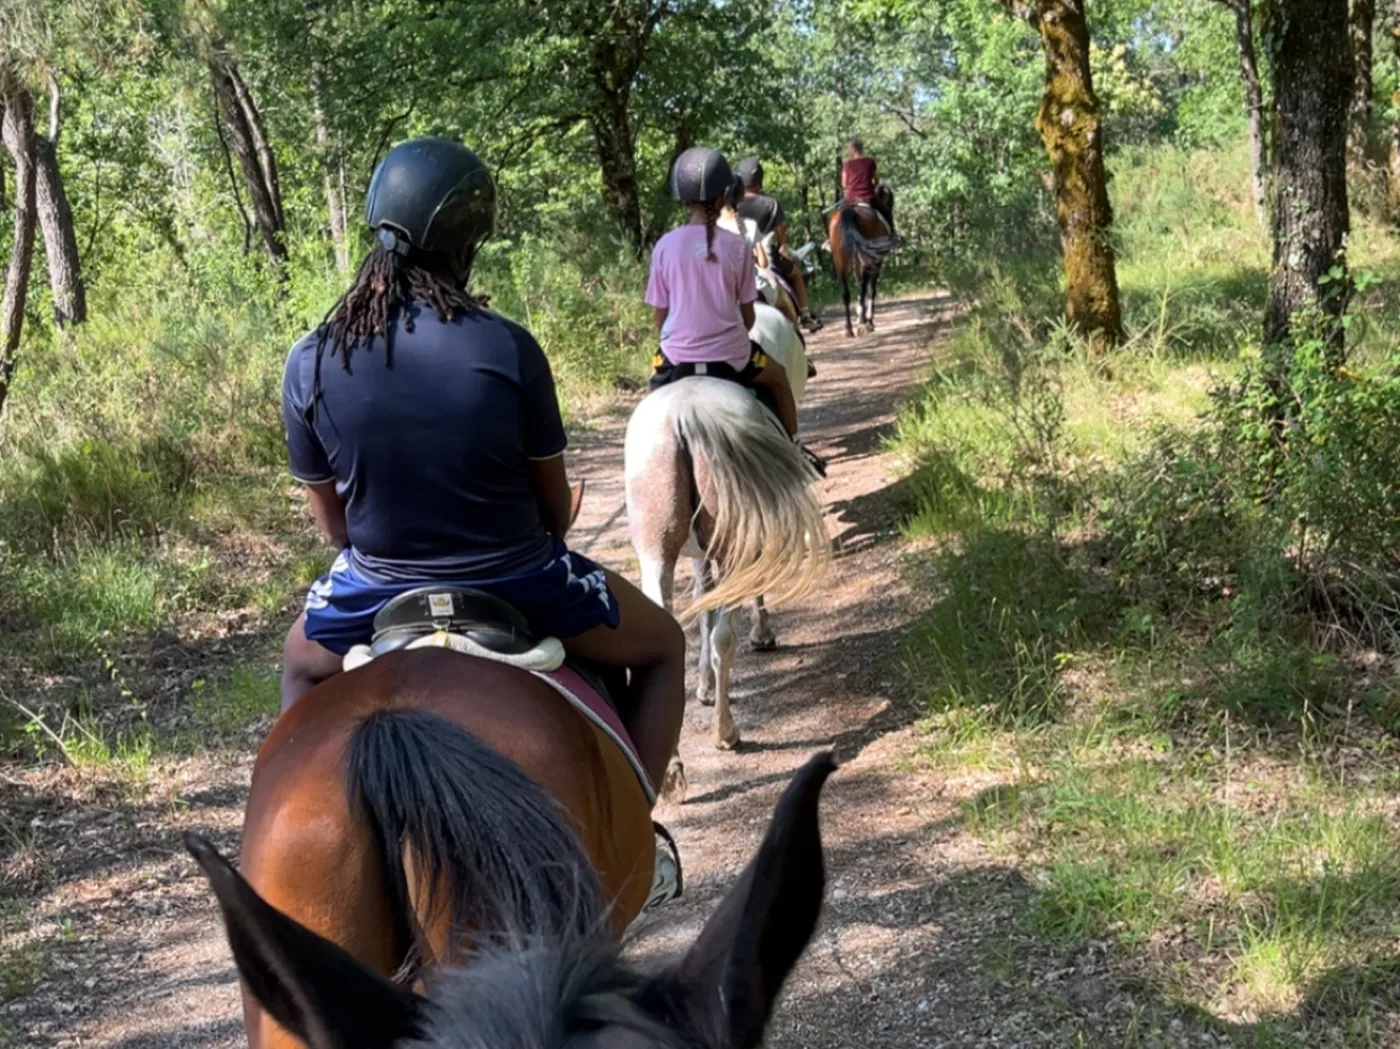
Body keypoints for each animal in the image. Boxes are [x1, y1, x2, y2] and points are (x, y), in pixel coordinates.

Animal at [625, 302, 829, 751]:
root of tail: (686, 415)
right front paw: (763, 634)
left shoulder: (700, 552)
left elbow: (703, 603)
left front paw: (701, 686)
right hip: (736, 543)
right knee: (724, 638)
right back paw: (726, 731)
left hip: (656, 549)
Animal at [827, 202, 898, 338]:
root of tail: (849, 212)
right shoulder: (876, 263)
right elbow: (871, 291)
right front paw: (869, 321)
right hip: (865, 261)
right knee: (863, 288)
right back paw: (862, 323)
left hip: (839, 262)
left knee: (846, 293)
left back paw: (848, 328)